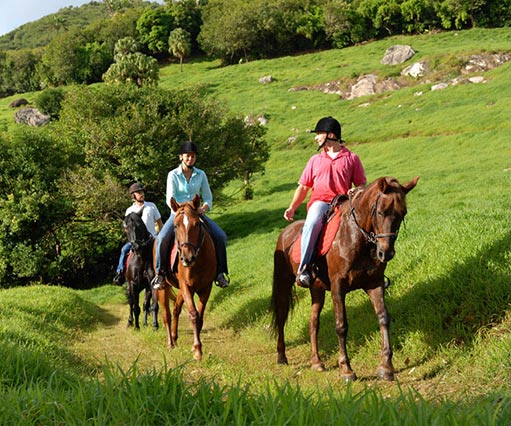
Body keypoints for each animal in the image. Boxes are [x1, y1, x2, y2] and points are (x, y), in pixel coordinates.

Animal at [155, 195, 217, 362]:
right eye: (176, 226)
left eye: (197, 224)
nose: (187, 258)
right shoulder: (186, 287)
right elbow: (194, 315)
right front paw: (197, 350)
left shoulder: (206, 287)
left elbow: (200, 317)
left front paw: (196, 348)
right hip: (164, 288)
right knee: (167, 315)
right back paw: (170, 343)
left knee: (176, 309)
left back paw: (175, 337)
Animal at [270, 175, 418, 382]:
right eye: (381, 212)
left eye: (402, 213)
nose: (386, 253)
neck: (358, 239)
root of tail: (286, 232)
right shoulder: (338, 287)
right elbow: (341, 326)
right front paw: (346, 369)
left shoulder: (375, 284)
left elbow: (383, 318)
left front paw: (386, 367)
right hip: (284, 284)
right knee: (282, 317)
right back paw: (282, 356)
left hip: (317, 289)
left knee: (313, 322)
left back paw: (316, 362)